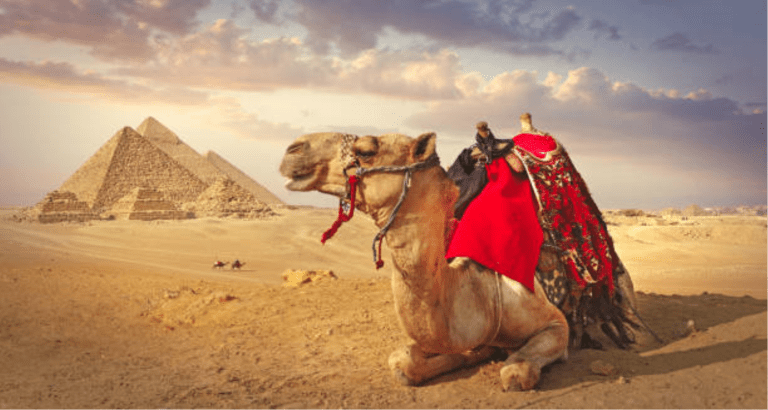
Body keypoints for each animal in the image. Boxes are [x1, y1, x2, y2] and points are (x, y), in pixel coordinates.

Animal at [278, 117, 639, 390]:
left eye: (366, 150)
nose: (293, 149)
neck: (477, 292)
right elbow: (404, 361)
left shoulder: (554, 324)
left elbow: (516, 371)